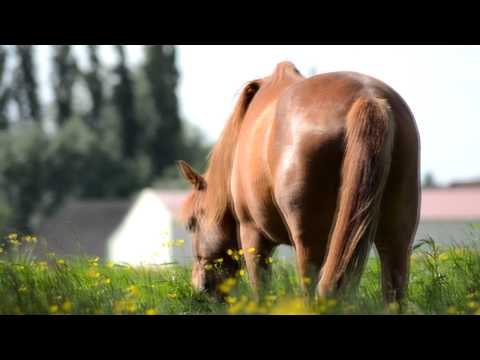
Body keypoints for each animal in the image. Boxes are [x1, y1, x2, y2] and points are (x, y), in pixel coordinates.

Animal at [177, 62, 420, 304]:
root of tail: (368, 96)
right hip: (397, 236)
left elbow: (261, 291)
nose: (199, 287)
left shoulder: (252, 235)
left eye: (191, 223)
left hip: (308, 243)